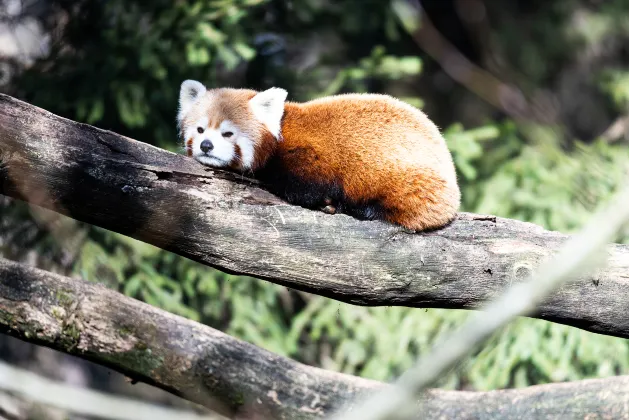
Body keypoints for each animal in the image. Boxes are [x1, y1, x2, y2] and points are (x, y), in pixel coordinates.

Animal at [178, 79, 462, 230]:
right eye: (200, 130)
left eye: (227, 134)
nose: (206, 145)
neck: (281, 129)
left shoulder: (308, 157)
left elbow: (309, 186)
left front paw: (325, 200)